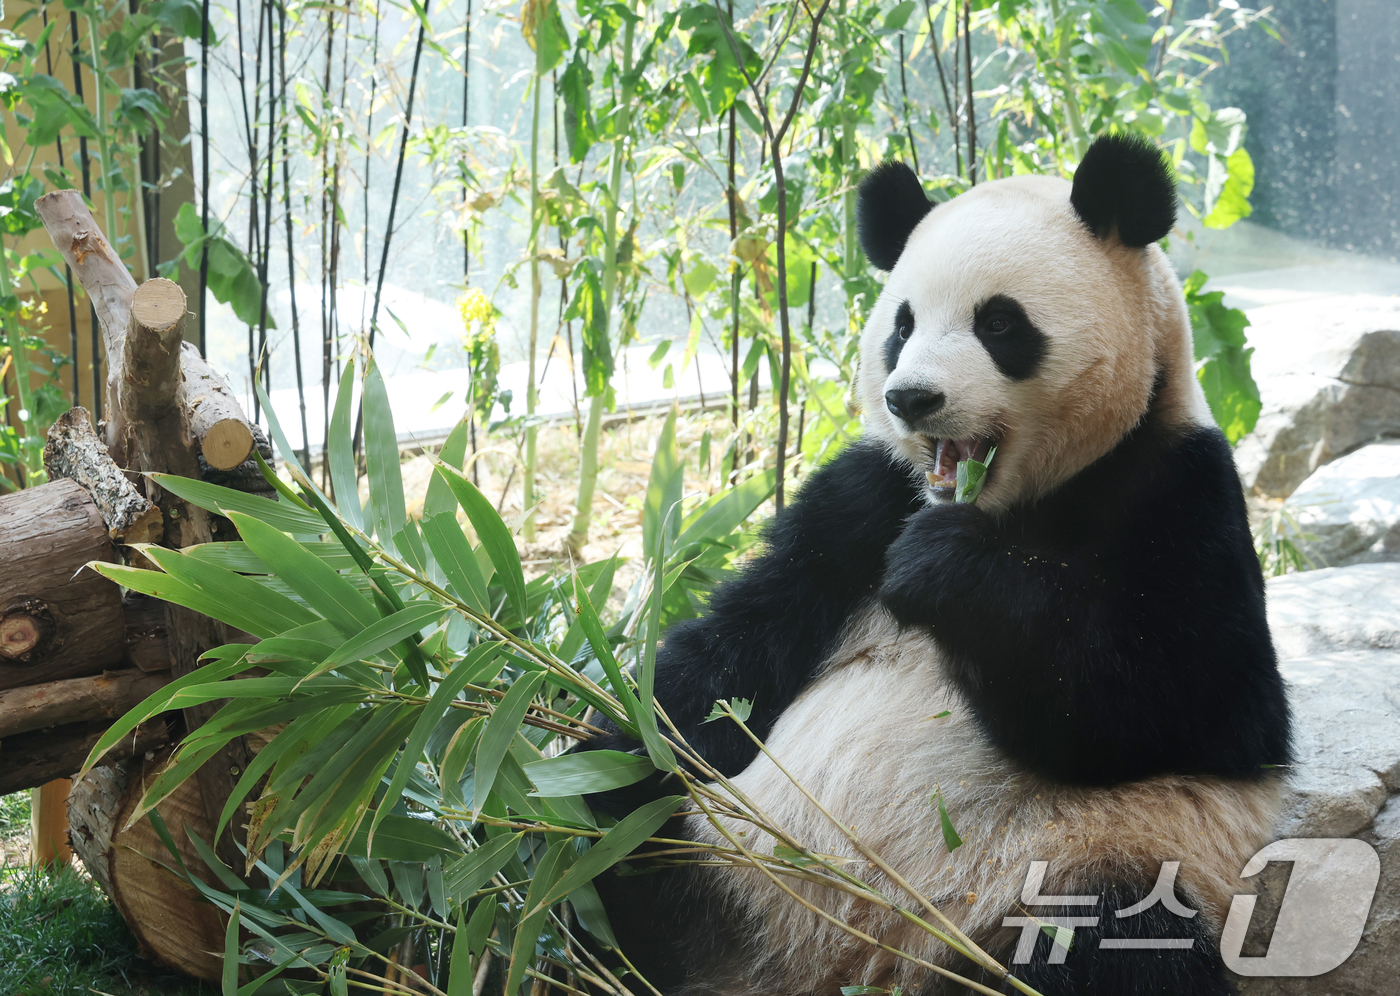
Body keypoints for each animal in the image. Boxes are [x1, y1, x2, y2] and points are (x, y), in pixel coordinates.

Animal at [580, 133, 1293, 996]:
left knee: (1116, 942)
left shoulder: (1178, 489)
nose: (911, 397)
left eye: (1000, 322)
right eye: (902, 324)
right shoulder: (864, 498)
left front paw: (943, 570)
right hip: (709, 841)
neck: (1009, 503)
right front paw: (610, 713)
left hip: (1083, 863)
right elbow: (735, 648)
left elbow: (1194, 696)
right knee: (617, 827)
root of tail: (845, 961)